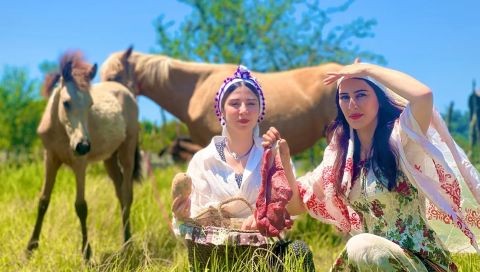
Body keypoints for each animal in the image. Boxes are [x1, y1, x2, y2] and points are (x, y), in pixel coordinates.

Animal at [27, 51, 141, 260]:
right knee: (120, 192)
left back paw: (128, 244)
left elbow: (81, 206)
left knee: (127, 194)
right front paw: (29, 249)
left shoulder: (80, 164)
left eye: (90, 104)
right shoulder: (50, 159)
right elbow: (43, 201)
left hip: (127, 151)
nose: (83, 146)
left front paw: (87, 254)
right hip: (109, 158)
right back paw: (125, 242)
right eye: (66, 102)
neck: (61, 133)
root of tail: (126, 91)